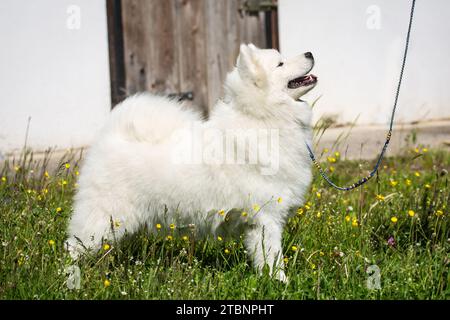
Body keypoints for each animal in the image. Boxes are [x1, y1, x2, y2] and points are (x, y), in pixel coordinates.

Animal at [68, 43, 318, 282]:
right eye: (280, 63)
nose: (309, 53)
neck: (264, 119)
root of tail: (111, 135)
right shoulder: (266, 218)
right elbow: (273, 257)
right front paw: (280, 283)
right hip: (102, 218)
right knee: (73, 247)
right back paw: (69, 277)